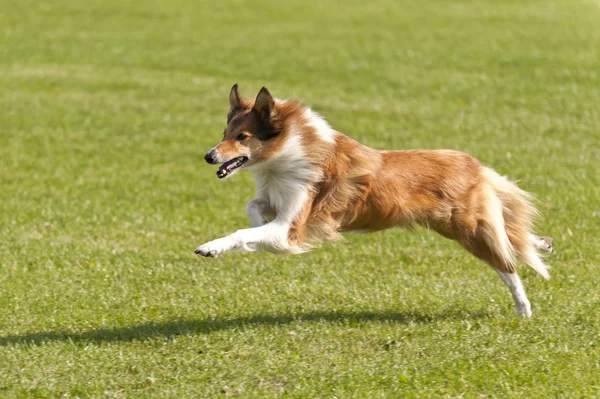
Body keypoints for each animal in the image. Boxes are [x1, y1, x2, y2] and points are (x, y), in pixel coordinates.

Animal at [197, 85, 552, 318]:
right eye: (224, 133)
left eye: (242, 137)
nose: (209, 156)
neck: (287, 153)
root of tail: (474, 165)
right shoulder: (277, 200)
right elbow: (253, 207)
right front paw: (254, 229)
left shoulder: (291, 226)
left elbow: (245, 232)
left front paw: (212, 247)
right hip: (460, 224)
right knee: (512, 234)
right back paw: (542, 243)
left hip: (467, 229)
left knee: (508, 264)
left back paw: (524, 309)